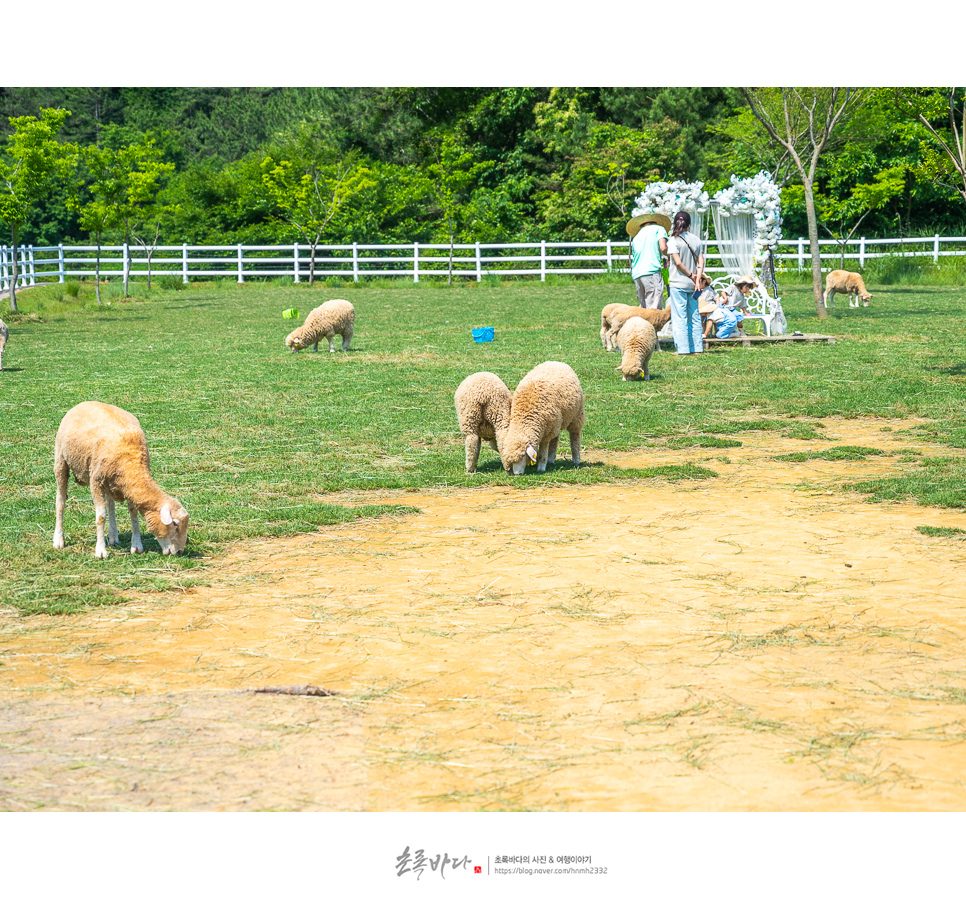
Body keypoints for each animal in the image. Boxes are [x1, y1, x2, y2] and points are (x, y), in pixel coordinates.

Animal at [52, 402, 192, 560]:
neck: (131, 462)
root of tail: (84, 403)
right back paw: (58, 539)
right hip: (61, 461)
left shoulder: (128, 485)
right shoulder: (96, 481)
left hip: (109, 483)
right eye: (175, 523)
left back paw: (113, 536)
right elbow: (101, 516)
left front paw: (136, 545)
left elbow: (133, 513)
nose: (180, 551)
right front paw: (100, 550)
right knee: (60, 501)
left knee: (110, 504)